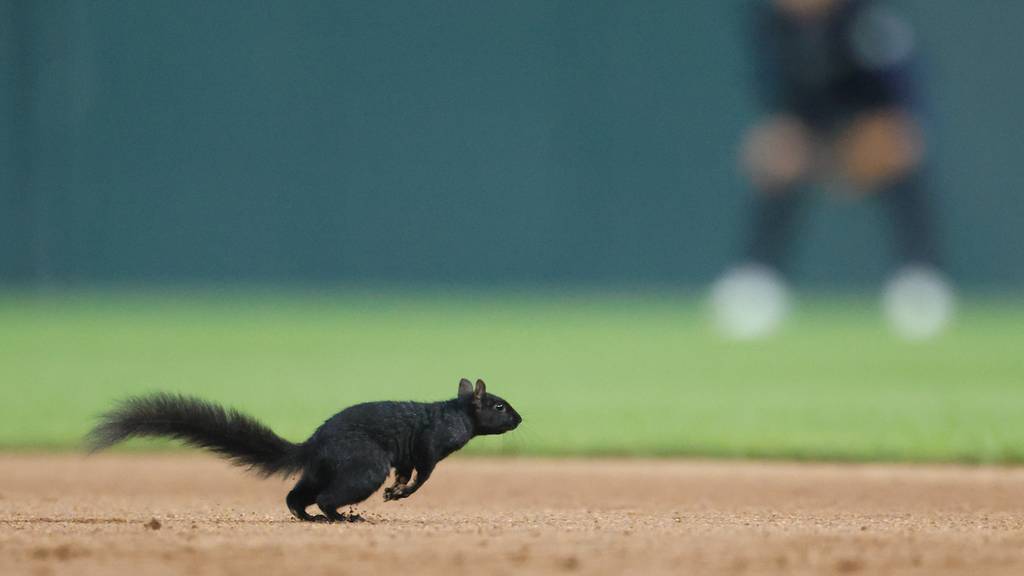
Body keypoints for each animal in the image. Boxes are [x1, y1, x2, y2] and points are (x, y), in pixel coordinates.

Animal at [86, 378, 521, 522]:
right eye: (499, 406)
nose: (519, 419)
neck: (457, 413)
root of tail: (313, 445)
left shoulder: (411, 456)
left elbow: (406, 472)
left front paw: (396, 491)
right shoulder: (429, 448)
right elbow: (422, 475)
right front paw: (399, 494)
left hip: (320, 471)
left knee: (296, 495)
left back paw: (307, 517)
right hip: (363, 468)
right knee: (327, 497)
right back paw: (341, 518)